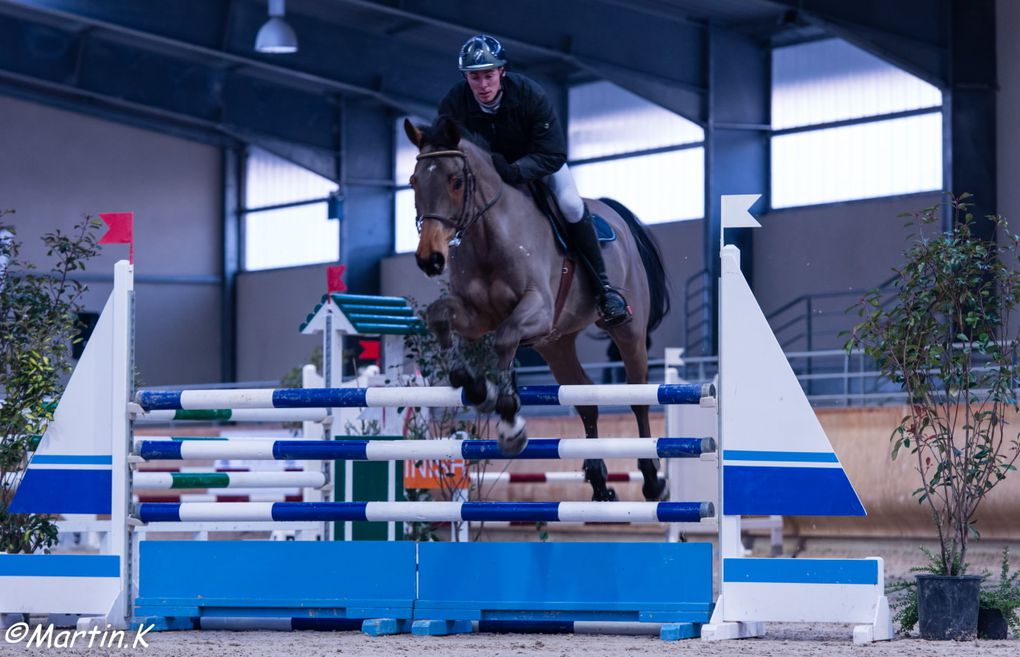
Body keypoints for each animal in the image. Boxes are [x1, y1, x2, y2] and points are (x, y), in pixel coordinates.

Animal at [401, 115, 673, 499]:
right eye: (413, 182)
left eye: (456, 181)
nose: (430, 259)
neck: (488, 236)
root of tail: (614, 214)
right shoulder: (475, 315)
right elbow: (440, 317)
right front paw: (476, 388)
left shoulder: (537, 310)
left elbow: (504, 338)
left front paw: (509, 422)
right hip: (556, 343)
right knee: (586, 399)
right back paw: (600, 483)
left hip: (626, 330)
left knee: (638, 396)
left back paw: (651, 480)